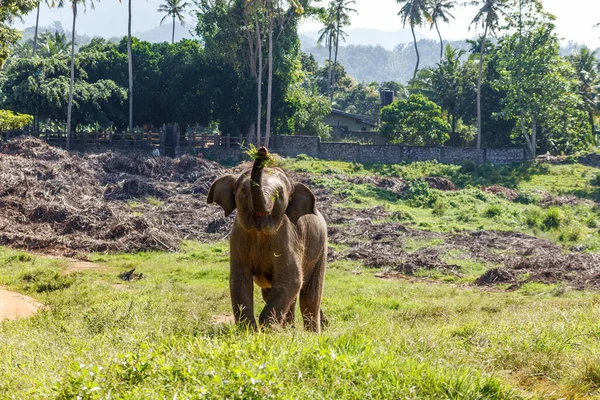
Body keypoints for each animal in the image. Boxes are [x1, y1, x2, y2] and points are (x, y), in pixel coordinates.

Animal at [207, 147, 328, 332]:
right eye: (244, 191)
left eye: (279, 195)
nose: (262, 151)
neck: (260, 232)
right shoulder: (237, 240)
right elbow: (239, 280)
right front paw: (249, 331)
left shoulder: (289, 239)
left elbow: (292, 280)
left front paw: (268, 330)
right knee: (276, 294)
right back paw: (288, 329)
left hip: (320, 250)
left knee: (309, 296)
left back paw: (311, 334)